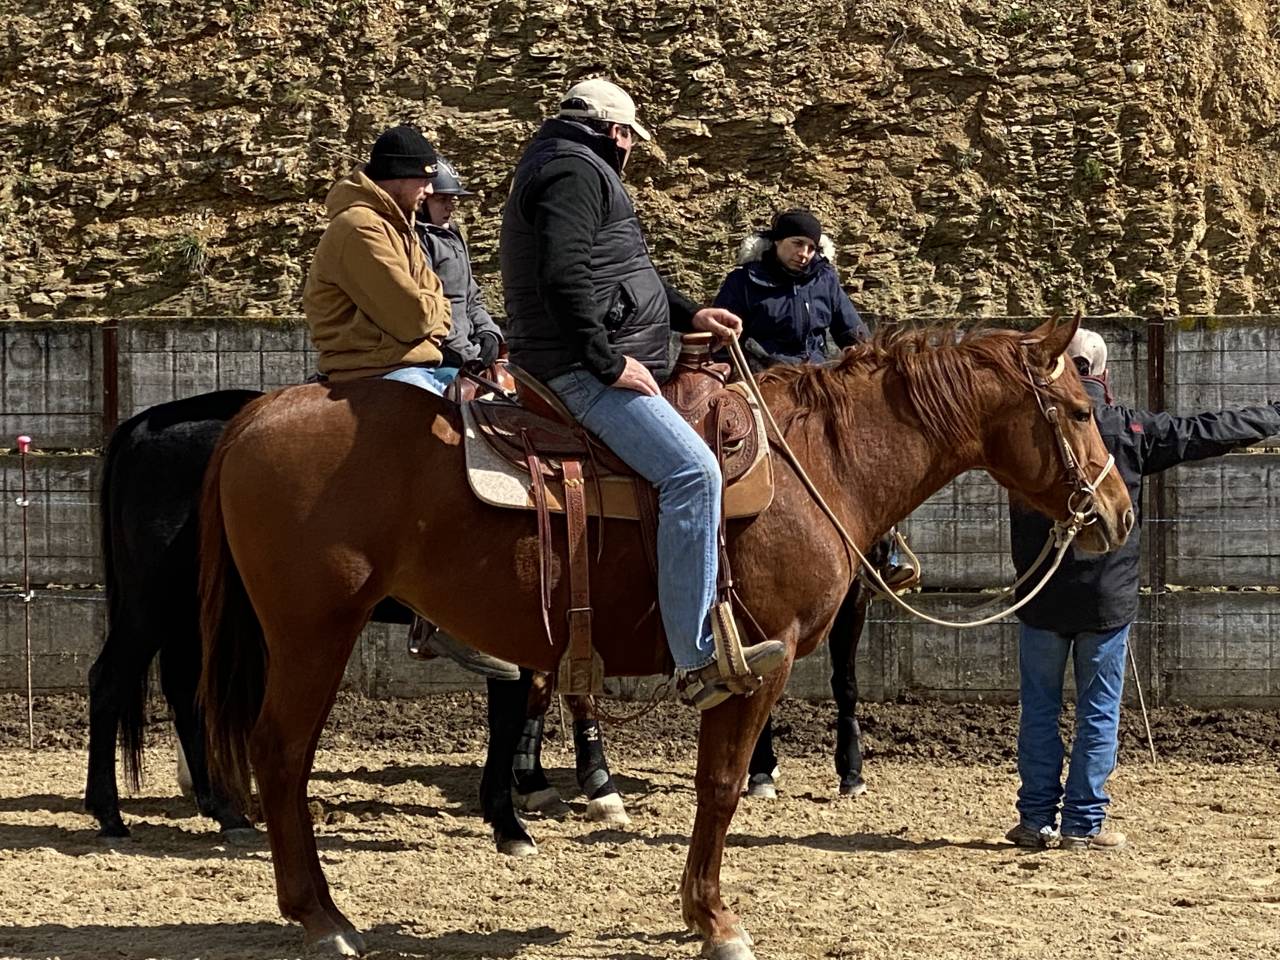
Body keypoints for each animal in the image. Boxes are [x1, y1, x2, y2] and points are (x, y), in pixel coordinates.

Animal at [83, 389, 627, 850]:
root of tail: (142, 426)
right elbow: (524, 707)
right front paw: (530, 810)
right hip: (153, 604)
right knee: (110, 680)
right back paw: (111, 814)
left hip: (191, 612)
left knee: (185, 692)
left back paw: (222, 809)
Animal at [198, 318, 1133, 958]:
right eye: (1077, 408)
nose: (1118, 514)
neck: (818, 462)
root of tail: (255, 415)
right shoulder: (756, 665)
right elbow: (719, 787)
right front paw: (715, 918)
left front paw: (696, 908)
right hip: (313, 633)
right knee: (281, 754)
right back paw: (322, 917)